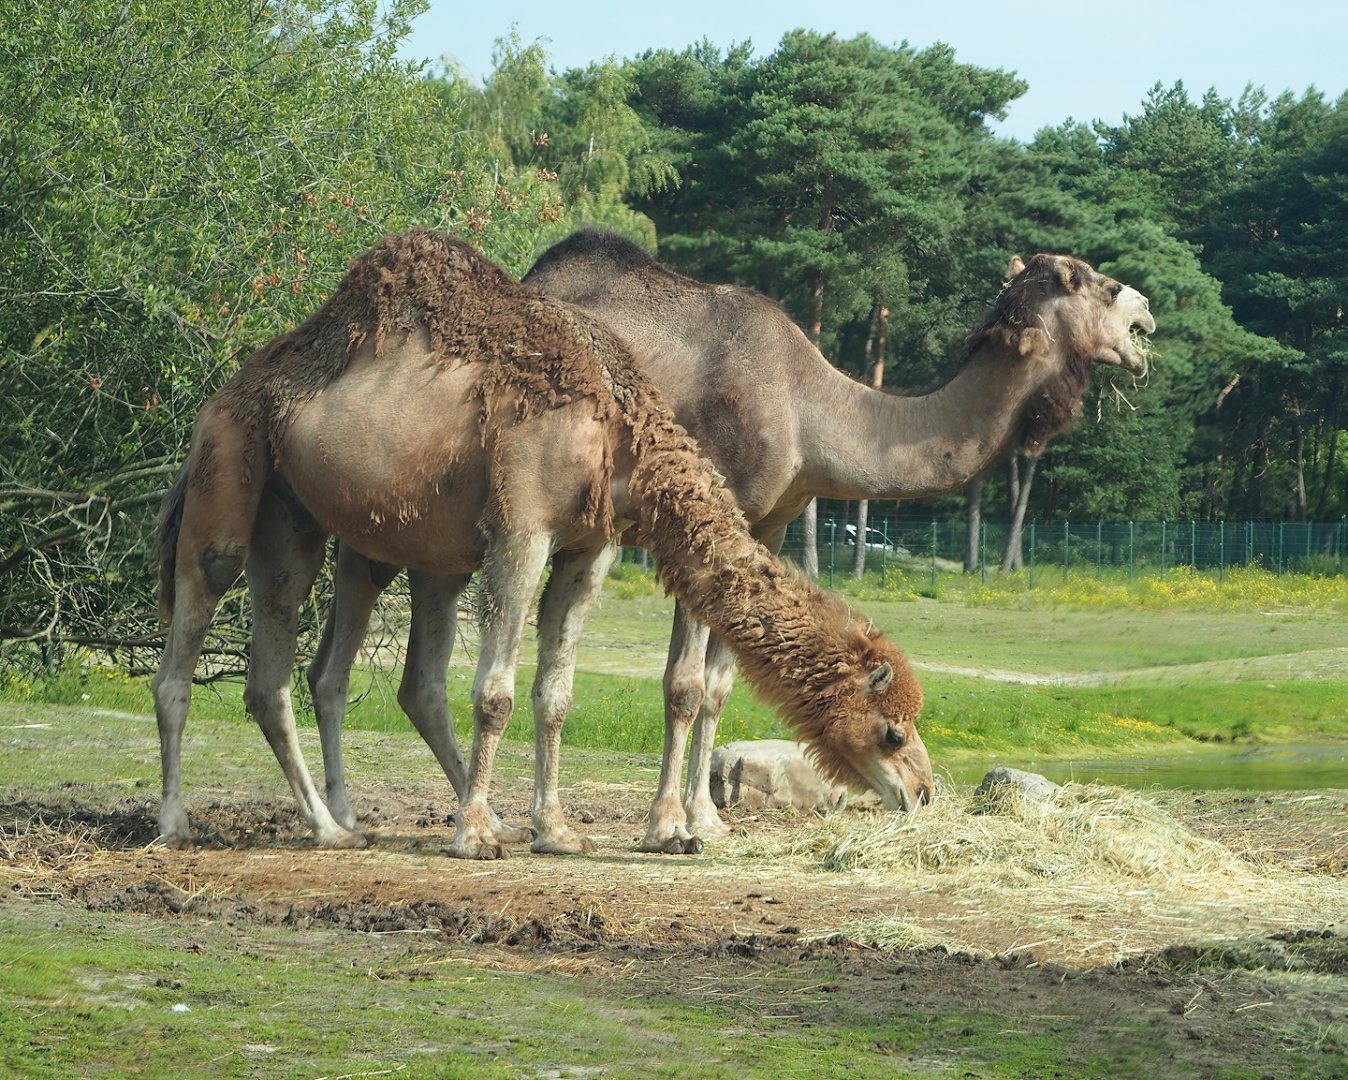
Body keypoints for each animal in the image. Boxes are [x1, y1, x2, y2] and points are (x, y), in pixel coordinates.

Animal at [151, 229, 934, 858]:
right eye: (891, 731)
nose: (923, 792)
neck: (618, 432)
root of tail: (225, 393)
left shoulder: (590, 550)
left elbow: (555, 692)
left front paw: (554, 831)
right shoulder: (520, 531)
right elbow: (494, 692)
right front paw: (476, 835)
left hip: (296, 520)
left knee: (273, 678)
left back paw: (333, 827)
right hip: (230, 467)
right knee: (190, 636)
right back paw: (178, 822)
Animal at [308, 231, 1155, 853]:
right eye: (1086, 281)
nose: (1147, 319)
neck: (816, 413)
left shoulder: (770, 521)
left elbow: (719, 684)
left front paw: (708, 820)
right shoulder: (716, 503)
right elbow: (683, 685)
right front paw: (666, 826)